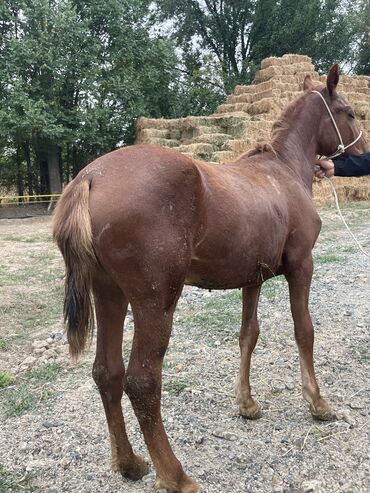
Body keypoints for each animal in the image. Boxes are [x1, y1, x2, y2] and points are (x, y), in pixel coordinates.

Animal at [54, 65, 368, 492]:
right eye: (350, 112)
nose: (362, 151)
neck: (283, 172)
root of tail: (90, 177)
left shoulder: (253, 279)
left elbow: (248, 335)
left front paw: (247, 403)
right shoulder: (302, 266)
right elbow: (304, 331)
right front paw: (317, 403)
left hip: (110, 295)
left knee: (107, 372)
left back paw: (130, 463)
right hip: (155, 302)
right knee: (142, 381)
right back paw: (175, 474)